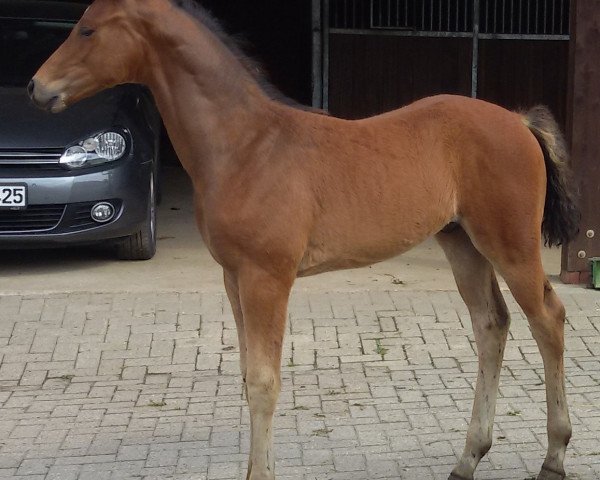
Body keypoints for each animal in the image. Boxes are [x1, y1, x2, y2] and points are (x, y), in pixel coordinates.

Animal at [29, 1, 580, 478]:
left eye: (87, 30)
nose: (37, 87)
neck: (246, 146)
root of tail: (518, 121)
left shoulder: (267, 277)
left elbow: (265, 382)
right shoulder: (233, 277)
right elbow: (247, 374)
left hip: (511, 244)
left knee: (548, 319)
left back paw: (553, 457)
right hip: (461, 243)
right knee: (492, 324)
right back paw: (468, 457)